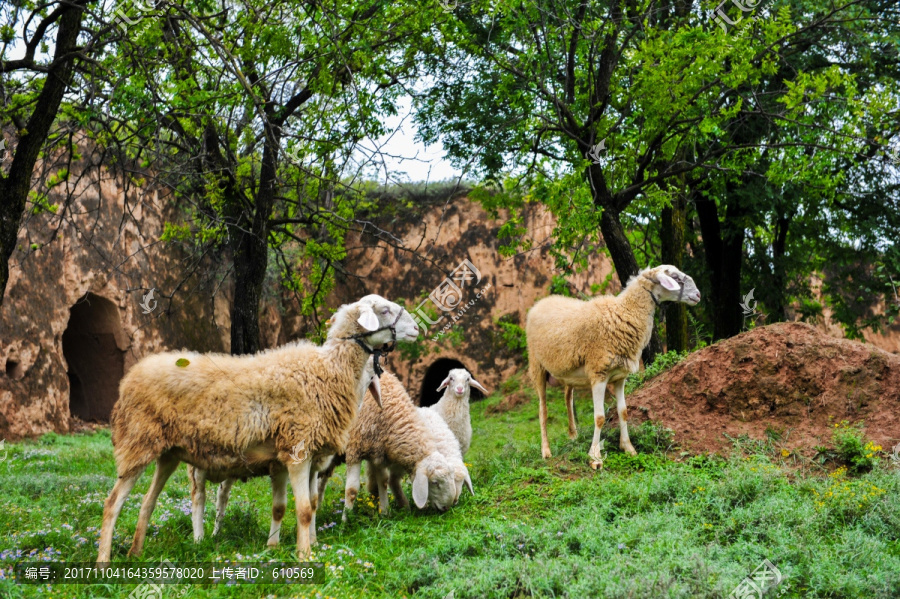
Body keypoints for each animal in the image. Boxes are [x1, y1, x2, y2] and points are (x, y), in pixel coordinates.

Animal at [96, 296, 420, 564]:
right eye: (384, 309)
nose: (417, 328)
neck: (328, 371)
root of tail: (130, 378)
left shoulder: (310, 456)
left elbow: (309, 504)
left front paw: (304, 545)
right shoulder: (297, 450)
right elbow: (304, 510)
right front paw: (305, 556)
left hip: (167, 452)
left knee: (147, 502)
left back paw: (135, 552)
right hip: (137, 442)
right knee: (113, 503)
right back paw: (104, 562)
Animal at [342, 370, 474, 520]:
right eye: (434, 482)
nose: (447, 508)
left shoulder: (378, 453)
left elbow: (383, 481)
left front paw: (384, 512)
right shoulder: (354, 449)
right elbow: (352, 490)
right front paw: (346, 519)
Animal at [524, 266, 700, 468]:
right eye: (675, 276)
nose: (698, 295)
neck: (624, 313)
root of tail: (540, 302)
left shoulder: (619, 377)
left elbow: (623, 412)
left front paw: (628, 448)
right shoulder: (599, 373)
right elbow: (599, 417)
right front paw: (595, 457)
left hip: (567, 372)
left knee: (568, 398)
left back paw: (574, 436)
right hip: (536, 365)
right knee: (542, 410)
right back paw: (546, 451)